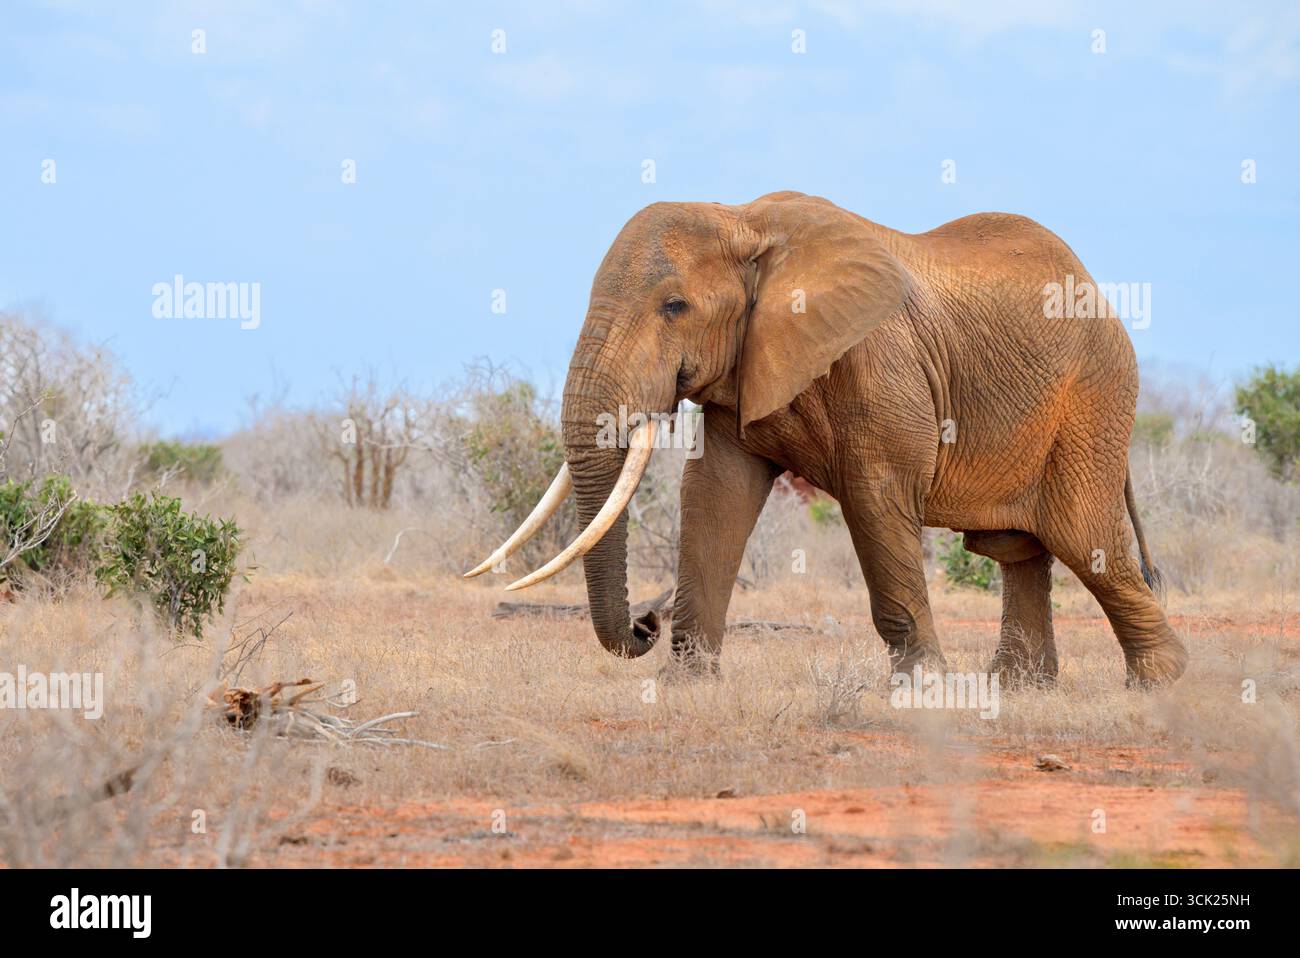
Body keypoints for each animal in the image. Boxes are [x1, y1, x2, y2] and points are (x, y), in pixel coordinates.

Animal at [466, 191, 1188, 688]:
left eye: (675, 307)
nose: (646, 620)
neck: (743, 220)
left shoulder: (879, 361)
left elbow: (876, 496)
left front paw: (922, 691)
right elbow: (716, 495)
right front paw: (686, 686)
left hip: (1093, 400)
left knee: (1086, 540)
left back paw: (1159, 683)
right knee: (1020, 550)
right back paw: (1020, 689)